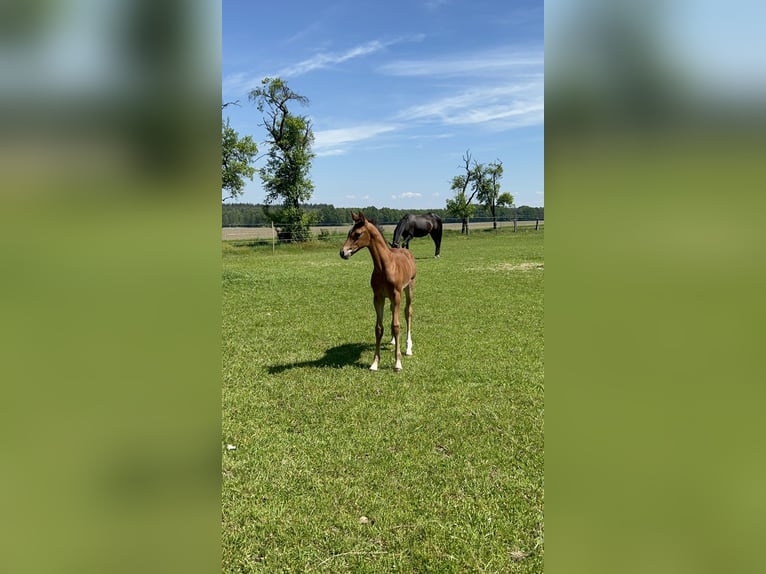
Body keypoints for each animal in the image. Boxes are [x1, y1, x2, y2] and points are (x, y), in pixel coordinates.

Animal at [340, 212, 416, 372]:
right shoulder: (378, 297)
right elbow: (379, 328)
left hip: (409, 288)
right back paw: (393, 340)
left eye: (357, 234)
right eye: (349, 233)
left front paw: (397, 363)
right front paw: (374, 363)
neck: (385, 266)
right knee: (393, 311)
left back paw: (408, 348)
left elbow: (396, 325)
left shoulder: (397, 295)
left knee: (408, 312)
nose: (342, 252)